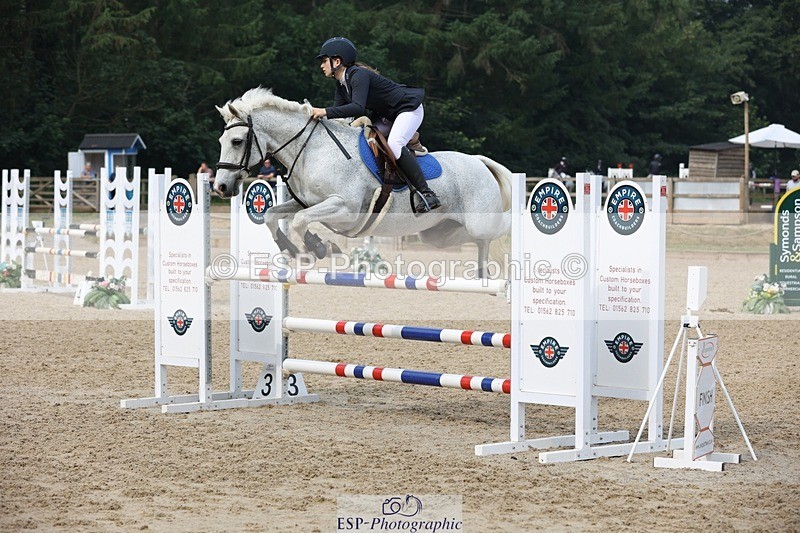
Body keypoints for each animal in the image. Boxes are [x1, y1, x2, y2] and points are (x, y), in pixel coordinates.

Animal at [213, 88, 511, 278]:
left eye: (237, 141)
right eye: (221, 141)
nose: (221, 187)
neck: (312, 149)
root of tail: (479, 161)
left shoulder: (345, 209)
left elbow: (300, 221)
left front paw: (319, 247)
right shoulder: (306, 203)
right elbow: (273, 216)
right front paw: (295, 251)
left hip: (480, 221)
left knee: (503, 226)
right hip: (439, 233)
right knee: (480, 243)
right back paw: (483, 272)